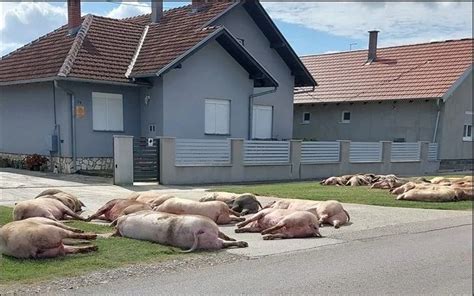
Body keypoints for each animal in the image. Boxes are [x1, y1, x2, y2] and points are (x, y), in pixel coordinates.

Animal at [114, 210, 248, 252]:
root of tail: (196, 231)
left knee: (221, 243)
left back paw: (242, 243)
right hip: (210, 229)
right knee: (222, 242)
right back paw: (244, 243)